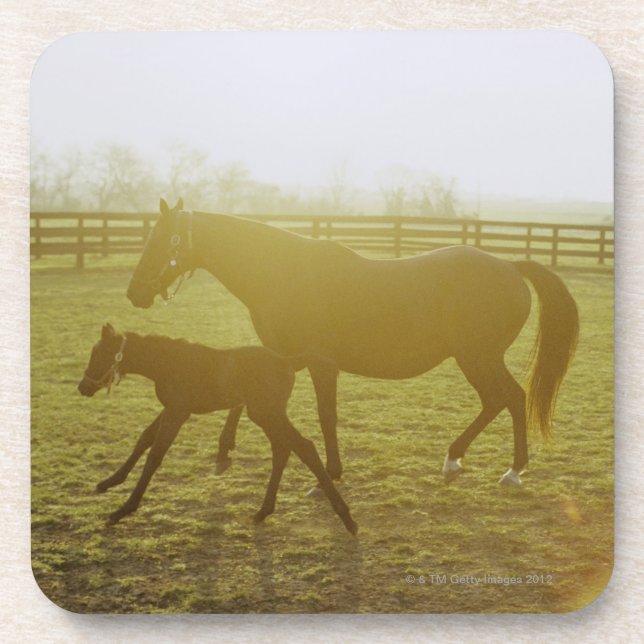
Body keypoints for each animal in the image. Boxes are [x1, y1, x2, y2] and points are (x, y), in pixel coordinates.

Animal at [77, 323, 358, 533]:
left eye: (99, 355)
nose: (83, 387)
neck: (168, 361)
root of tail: (287, 360)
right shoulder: (172, 408)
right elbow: (145, 438)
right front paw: (109, 482)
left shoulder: (178, 412)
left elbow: (156, 454)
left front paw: (123, 510)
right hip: (267, 415)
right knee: (283, 449)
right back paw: (263, 512)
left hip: (266, 413)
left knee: (303, 447)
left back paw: (347, 518)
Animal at [127, 198, 579, 487]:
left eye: (159, 242)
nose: (134, 294)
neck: (284, 273)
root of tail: (510, 266)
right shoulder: (282, 357)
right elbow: (242, 391)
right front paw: (224, 450)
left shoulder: (320, 363)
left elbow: (327, 416)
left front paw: (330, 474)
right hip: (476, 359)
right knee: (497, 401)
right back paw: (456, 459)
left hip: (478, 358)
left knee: (510, 399)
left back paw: (511, 469)